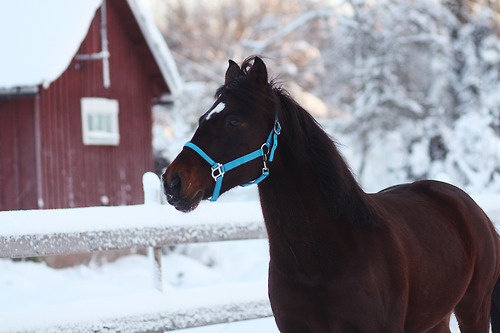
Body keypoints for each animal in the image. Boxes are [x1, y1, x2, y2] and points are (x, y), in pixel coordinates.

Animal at [162, 57, 498, 332]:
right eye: (203, 118)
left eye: (234, 121)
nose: (172, 181)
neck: (322, 260)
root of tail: (471, 208)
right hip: (434, 319)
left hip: (473, 309)